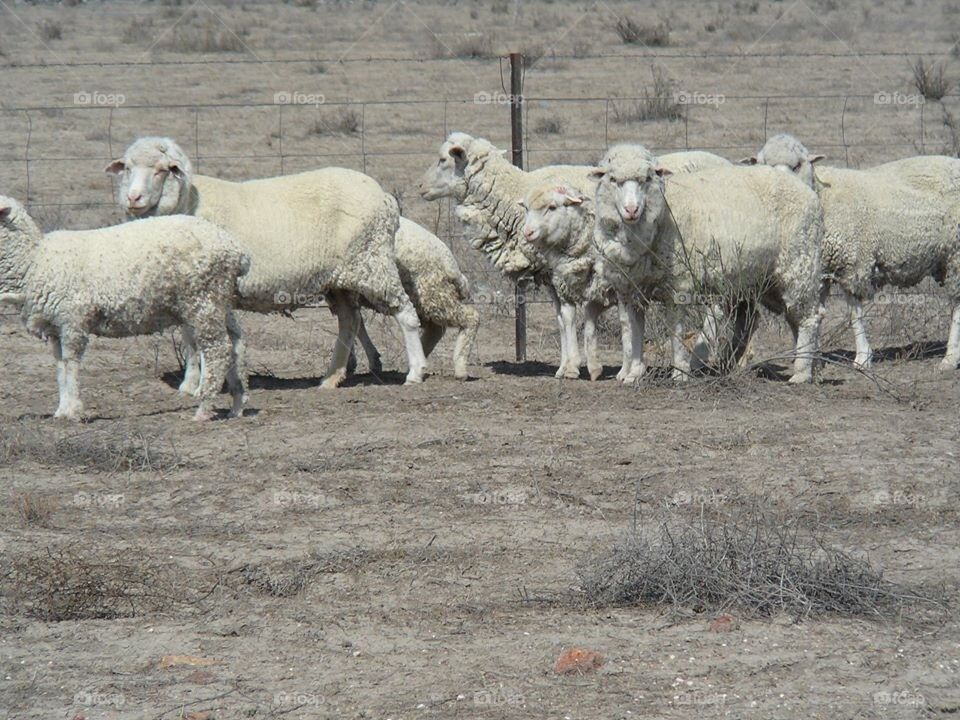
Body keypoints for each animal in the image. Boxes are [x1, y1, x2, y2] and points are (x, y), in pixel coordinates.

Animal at [0, 195, 248, 421]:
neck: (33, 261)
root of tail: (236, 251)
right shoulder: (55, 328)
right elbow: (60, 368)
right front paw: (62, 410)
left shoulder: (73, 322)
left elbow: (70, 366)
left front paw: (73, 410)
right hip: (220, 301)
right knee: (236, 343)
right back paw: (237, 403)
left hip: (204, 300)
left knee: (218, 349)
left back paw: (204, 408)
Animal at [106, 136, 427, 388]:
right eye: (128, 168)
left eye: (163, 170)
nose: (134, 198)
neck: (189, 204)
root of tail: (384, 197)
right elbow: (189, 336)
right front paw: (191, 383)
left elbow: (199, 339)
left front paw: (199, 383)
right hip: (339, 279)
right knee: (350, 321)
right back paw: (330, 378)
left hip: (373, 263)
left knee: (405, 313)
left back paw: (415, 371)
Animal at [351, 218, 479, 380]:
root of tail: (453, 267)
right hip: (424, 299)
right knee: (435, 329)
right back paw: (419, 360)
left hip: (430, 293)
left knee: (471, 316)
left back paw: (460, 367)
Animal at [591, 144, 824, 384]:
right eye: (612, 179)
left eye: (647, 178)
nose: (631, 210)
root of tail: (806, 191)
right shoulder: (627, 288)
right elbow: (631, 332)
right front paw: (633, 373)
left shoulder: (677, 284)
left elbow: (676, 330)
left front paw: (680, 372)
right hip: (761, 280)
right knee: (783, 318)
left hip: (799, 265)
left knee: (810, 317)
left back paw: (801, 372)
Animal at [744, 133, 960, 370]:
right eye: (763, 165)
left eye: (798, 165)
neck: (822, 197)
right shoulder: (820, 271)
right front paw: (812, 357)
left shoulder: (852, 262)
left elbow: (853, 315)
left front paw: (863, 357)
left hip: (956, 252)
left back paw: (950, 358)